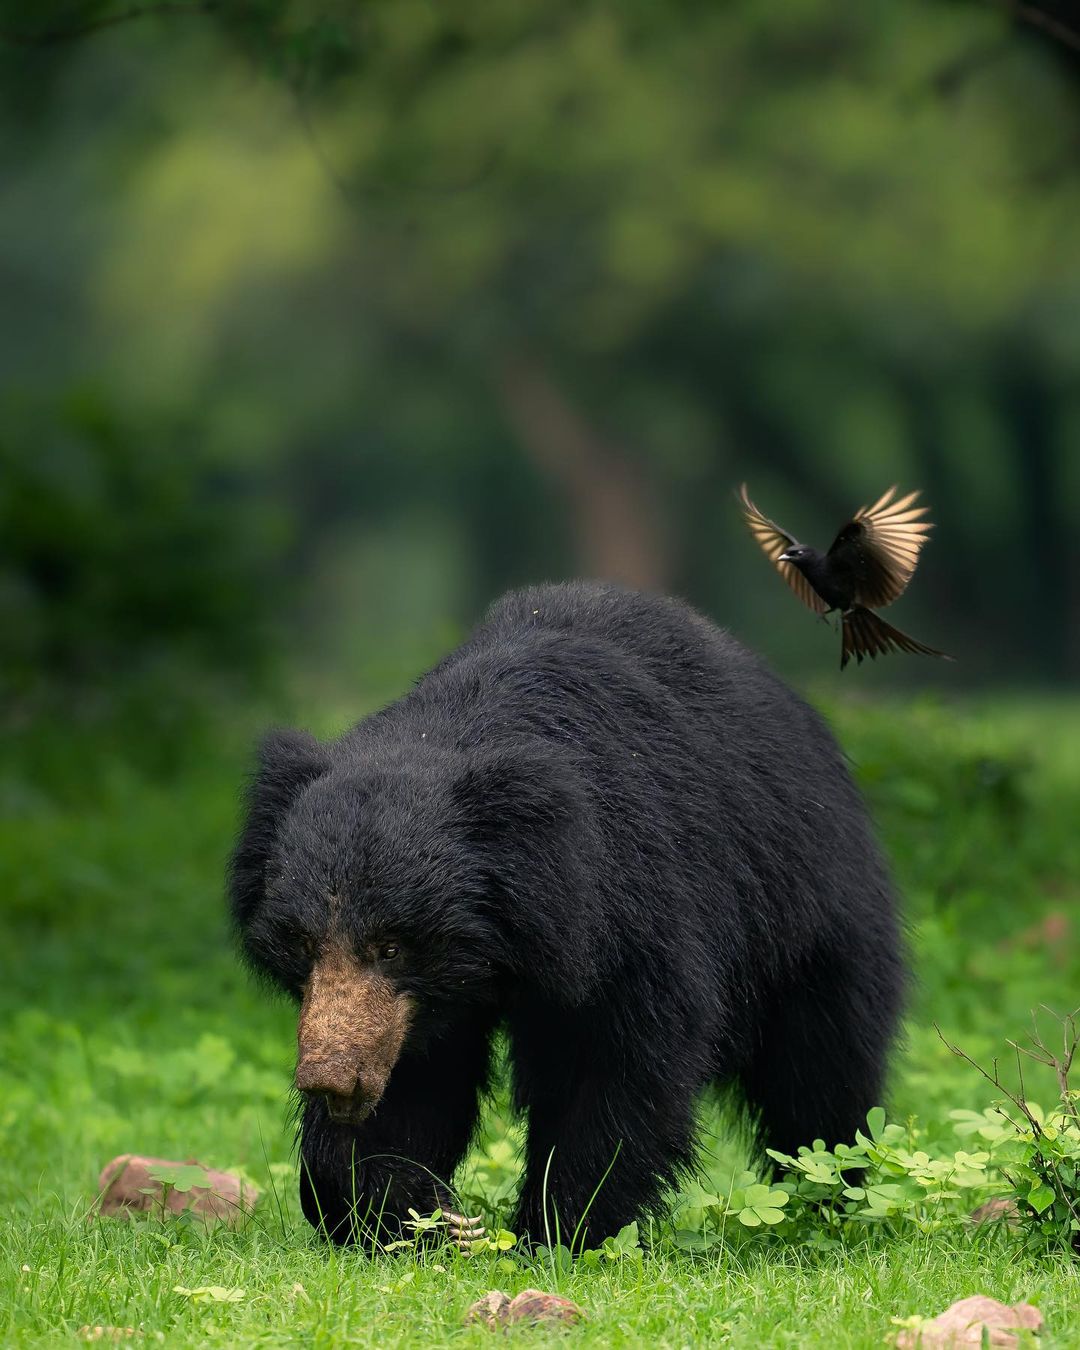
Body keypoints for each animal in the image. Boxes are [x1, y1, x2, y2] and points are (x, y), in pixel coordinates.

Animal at [232, 580, 907, 1242]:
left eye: (391, 946)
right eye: (302, 944)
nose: (329, 1078)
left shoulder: (632, 904)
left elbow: (617, 1065)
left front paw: (558, 1229)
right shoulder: (417, 1010)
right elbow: (413, 1081)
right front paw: (404, 1212)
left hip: (811, 915)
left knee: (822, 1067)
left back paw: (829, 1196)